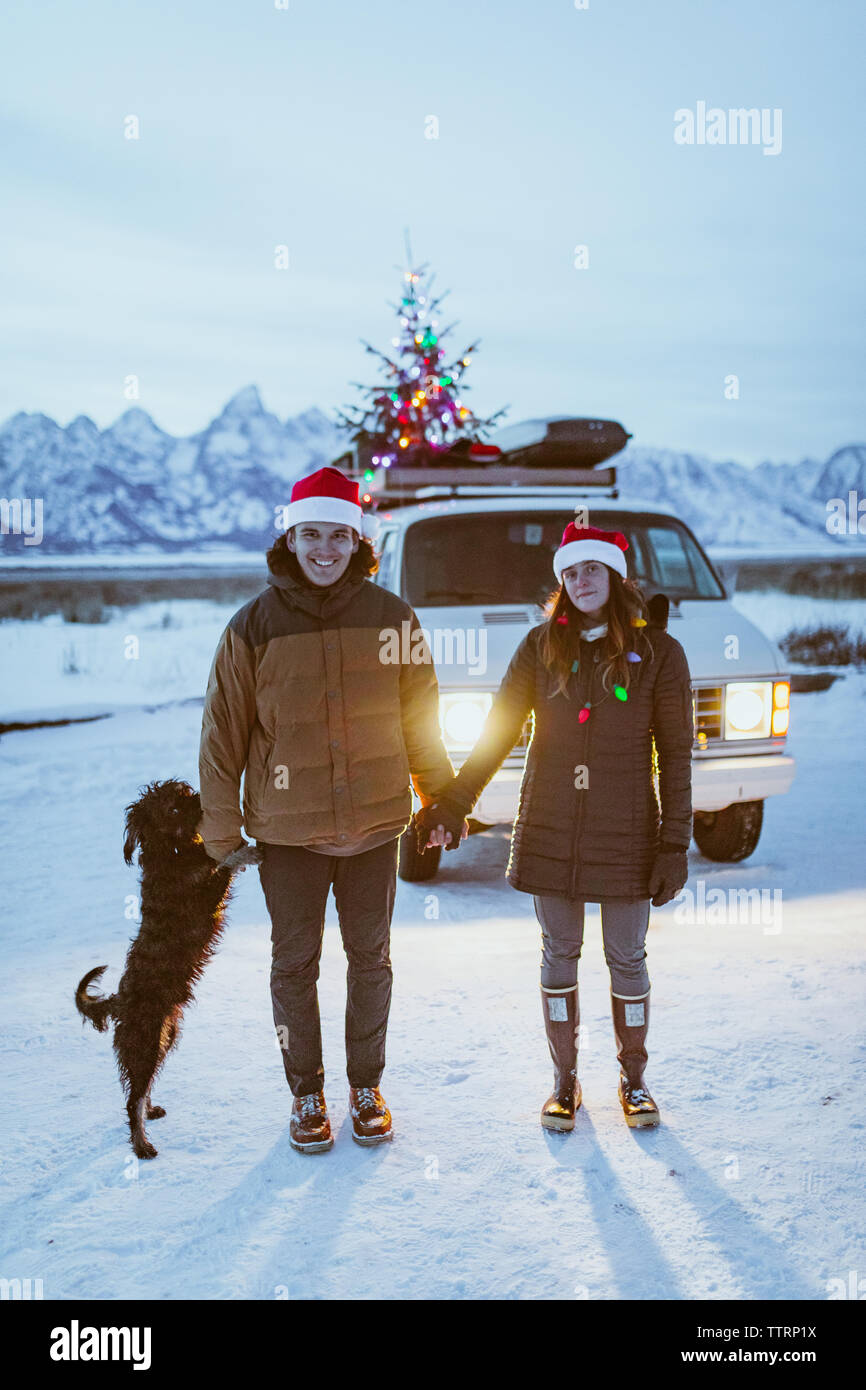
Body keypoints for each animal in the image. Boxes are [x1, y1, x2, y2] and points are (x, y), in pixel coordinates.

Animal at [75, 778, 258, 1156]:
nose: (204, 800)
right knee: (132, 1097)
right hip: (145, 1042)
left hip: (165, 1037)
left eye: (186, 792)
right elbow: (225, 867)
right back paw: (142, 1145)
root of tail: (119, 1002)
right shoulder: (201, 900)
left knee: (141, 1088)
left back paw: (149, 1111)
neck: (173, 850)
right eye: (173, 808)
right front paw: (245, 853)